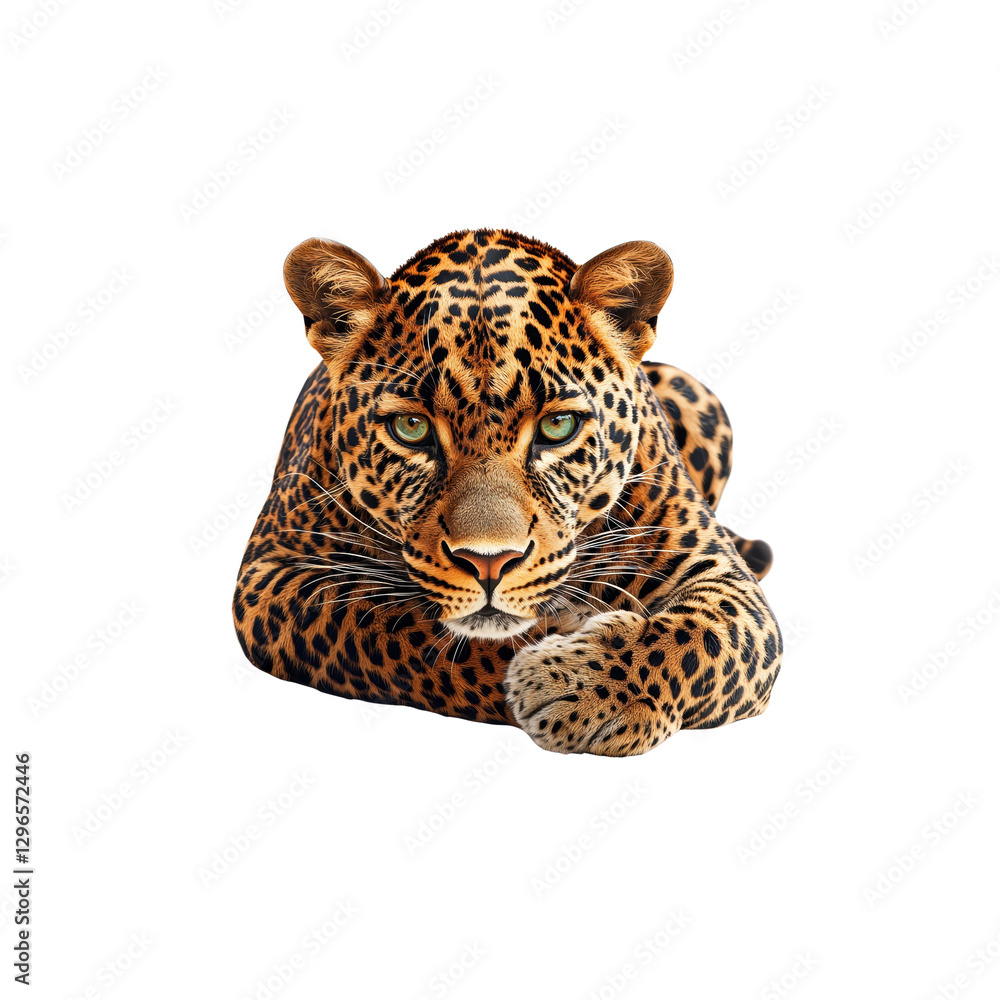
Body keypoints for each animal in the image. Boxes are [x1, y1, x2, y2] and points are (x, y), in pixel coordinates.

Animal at [232, 229, 782, 756]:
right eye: (411, 427)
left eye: (558, 426)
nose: (490, 562)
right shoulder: (271, 572)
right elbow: (393, 626)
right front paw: (562, 666)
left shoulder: (718, 572)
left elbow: (699, 639)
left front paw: (585, 690)